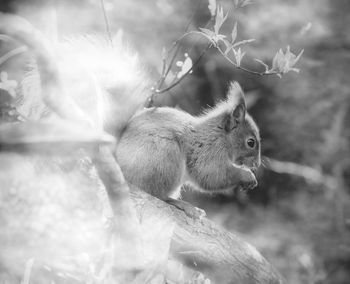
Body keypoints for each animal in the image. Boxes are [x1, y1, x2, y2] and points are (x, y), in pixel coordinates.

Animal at [0, 12, 260, 217]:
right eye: (251, 142)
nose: (257, 164)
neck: (220, 134)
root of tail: (116, 158)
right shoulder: (208, 150)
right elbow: (211, 175)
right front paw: (246, 176)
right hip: (164, 156)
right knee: (156, 193)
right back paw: (183, 205)